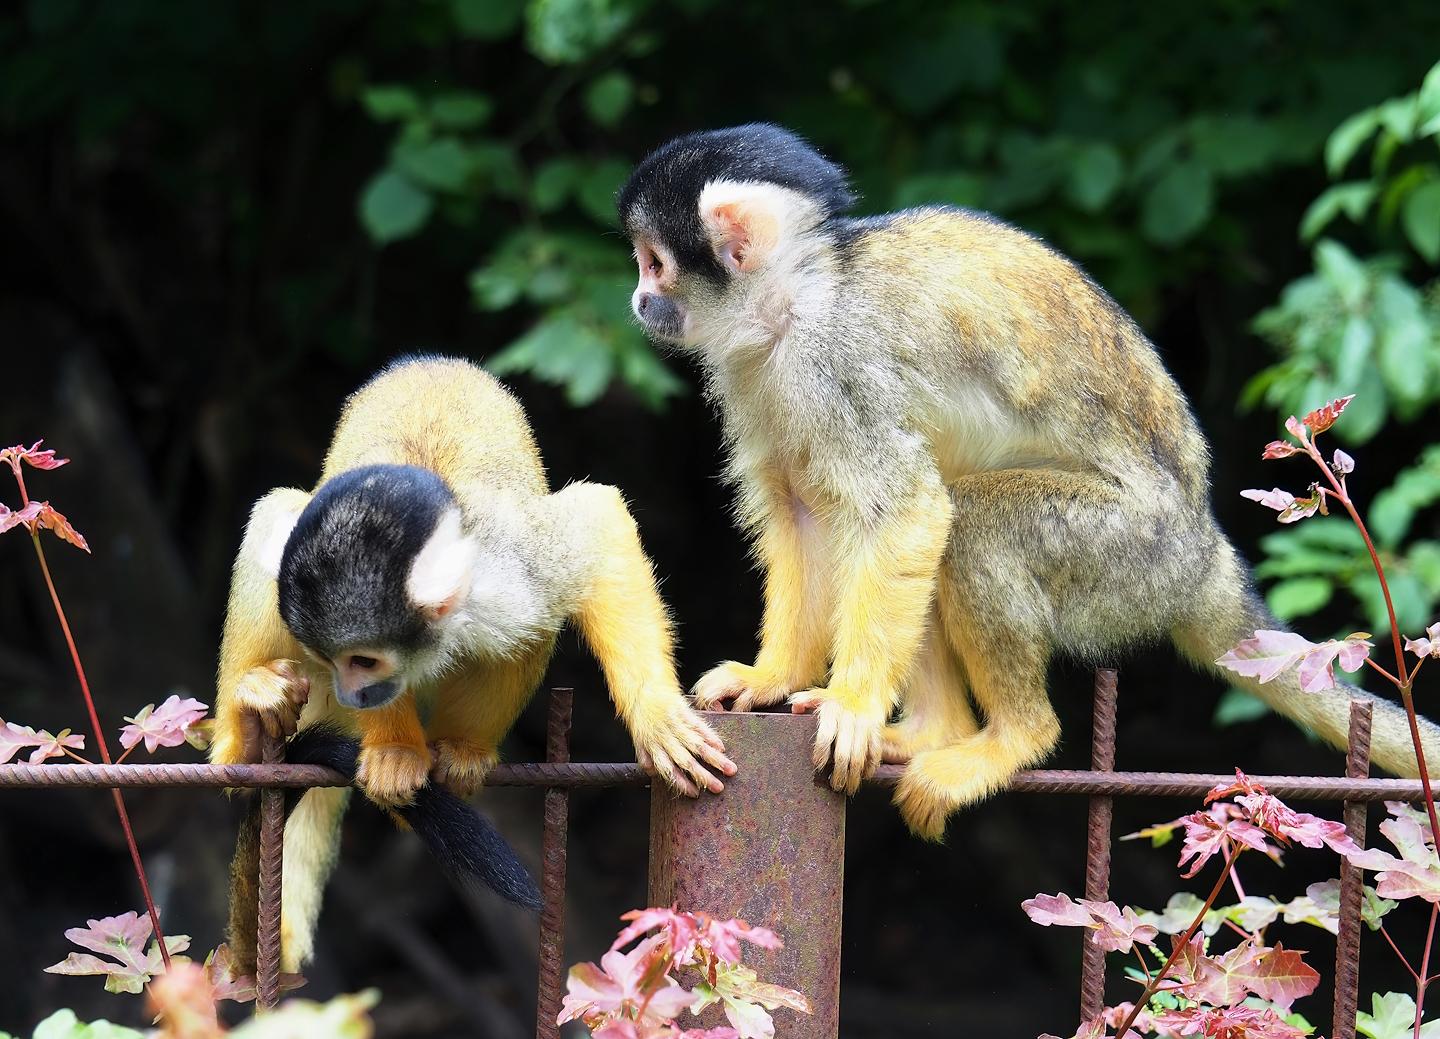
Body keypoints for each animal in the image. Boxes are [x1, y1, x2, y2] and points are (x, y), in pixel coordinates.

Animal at [211, 355, 735, 973]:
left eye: (363, 661)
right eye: (330, 660)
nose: (346, 695)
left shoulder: (518, 567)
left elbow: (594, 520)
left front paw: (656, 715)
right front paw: (394, 751)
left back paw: (462, 746)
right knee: (276, 512)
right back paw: (246, 740)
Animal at [616, 122, 1440, 840]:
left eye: (653, 263)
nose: (636, 300)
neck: (796, 298)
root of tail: (1208, 555)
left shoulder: (835, 359)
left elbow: (905, 510)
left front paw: (851, 704)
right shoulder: (756, 371)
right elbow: (805, 512)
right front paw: (771, 676)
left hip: (1130, 562)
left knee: (969, 522)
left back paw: (1014, 735)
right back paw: (932, 731)